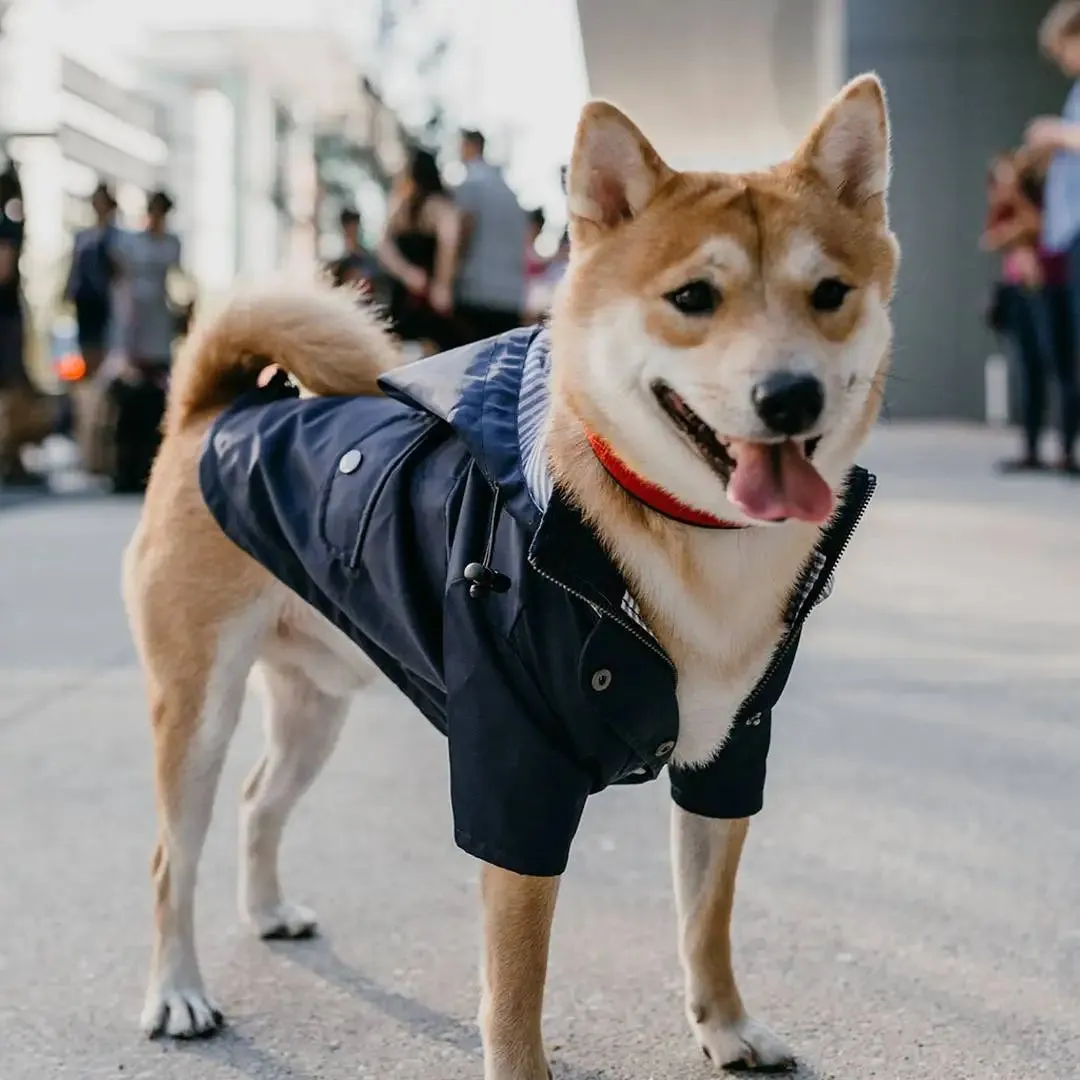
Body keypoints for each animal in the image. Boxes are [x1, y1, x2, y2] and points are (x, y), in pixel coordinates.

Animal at [124, 71, 902, 1075]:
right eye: (693, 296)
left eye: (830, 293)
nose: (790, 395)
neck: (676, 537)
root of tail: (214, 413)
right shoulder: (515, 776)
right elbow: (518, 987)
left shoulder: (729, 751)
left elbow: (707, 921)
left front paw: (726, 1027)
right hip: (198, 711)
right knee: (171, 859)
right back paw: (176, 992)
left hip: (314, 709)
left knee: (261, 803)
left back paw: (266, 913)